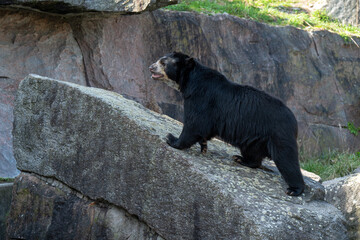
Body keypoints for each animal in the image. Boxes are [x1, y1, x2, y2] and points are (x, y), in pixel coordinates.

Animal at [149, 51, 304, 196]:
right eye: (159, 60)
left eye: (163, 63)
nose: (151, 67)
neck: (190, 81)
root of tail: (294, 121)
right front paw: (203, 145)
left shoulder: (201, 99)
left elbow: (194, 124)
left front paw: (171, 139)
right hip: (255, 137)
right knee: (253, 152)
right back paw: (241, 159)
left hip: (278, 133)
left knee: (286, 158)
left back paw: (294, 189)